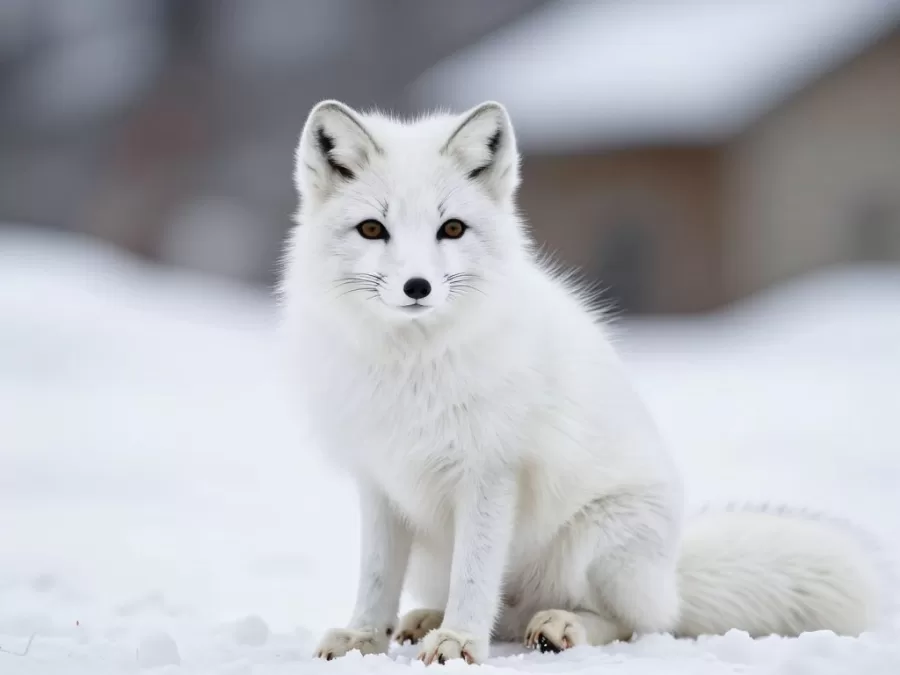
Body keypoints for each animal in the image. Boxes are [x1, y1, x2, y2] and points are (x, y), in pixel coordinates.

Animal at [277, 99, 884, 665]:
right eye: (372, 229)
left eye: (451, 229)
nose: (418, 287)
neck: (413, 365)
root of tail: (672, 576)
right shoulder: (380, 480)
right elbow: (377, 576)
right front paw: (364, 637)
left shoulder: (491, 472)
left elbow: (474, 575)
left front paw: (459, 642)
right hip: (436, 556)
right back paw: (427, 618)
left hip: (597, 542)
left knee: (635, 623)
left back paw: (556, 627)